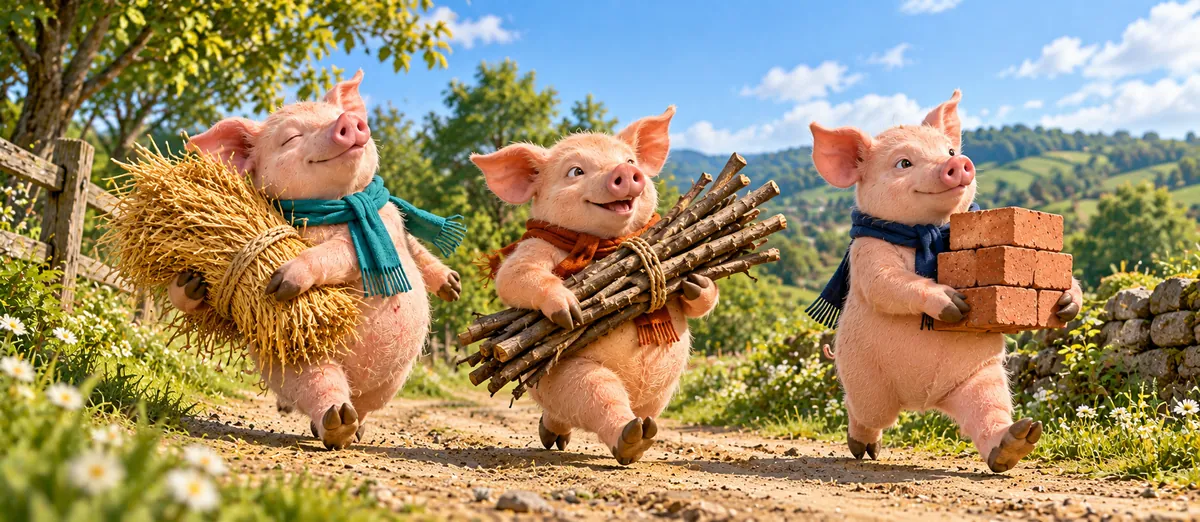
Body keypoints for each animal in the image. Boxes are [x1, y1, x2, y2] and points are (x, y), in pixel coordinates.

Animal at [171, 70, 462, 450]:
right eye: (291, 137)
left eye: (334, 116)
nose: (347, 121)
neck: (341, 205)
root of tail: (357, 381)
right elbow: (337, 252)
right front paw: (263, 285)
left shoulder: (391, 226)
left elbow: (377, 250)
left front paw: (454, 288)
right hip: (299, 361)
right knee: (322, 388)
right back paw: (337, 423)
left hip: (390, 379)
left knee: (365, 406)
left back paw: (355, 428)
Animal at [470, 106, 720, 465]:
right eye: (576, 171)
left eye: (630, 160)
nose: (625, 171)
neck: (605, 244)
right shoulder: (535, 247)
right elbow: (514, 275)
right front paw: (570, 311)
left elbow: (698, 299)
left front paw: (697, 282)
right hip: (563, 376)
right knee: (598, 396)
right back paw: (629, 439)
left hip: (661, 392)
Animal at [809, 90, 1082, 473]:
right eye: (903, 163)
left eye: (950, 151)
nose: (958, 163)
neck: (926, 231)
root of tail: (923, 401)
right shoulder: (867, 255)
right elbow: (888, 283)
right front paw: (956, 305)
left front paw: (1067, 302)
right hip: (865, 382)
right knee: (864, 413)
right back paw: (862, 448)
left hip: (979, 377)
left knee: (988, 412)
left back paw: (1017, 441)